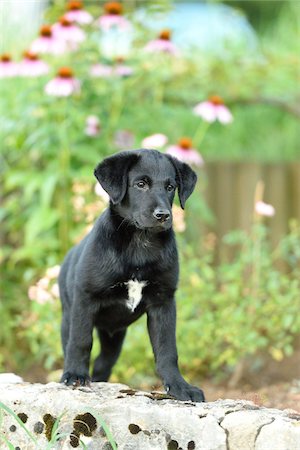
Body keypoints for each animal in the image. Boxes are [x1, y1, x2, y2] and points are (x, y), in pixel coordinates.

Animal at [58, 149, 204, 402]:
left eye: (170, 187)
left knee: (103, 363)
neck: (140, 242)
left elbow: (167, 350)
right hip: (68, 316)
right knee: (73, 345)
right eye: (141, 184)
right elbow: (81, 341)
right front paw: (75, 375)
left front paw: (179, 386)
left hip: (114, 337)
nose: (163, 215)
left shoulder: (163, 302)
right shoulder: (85, 299)